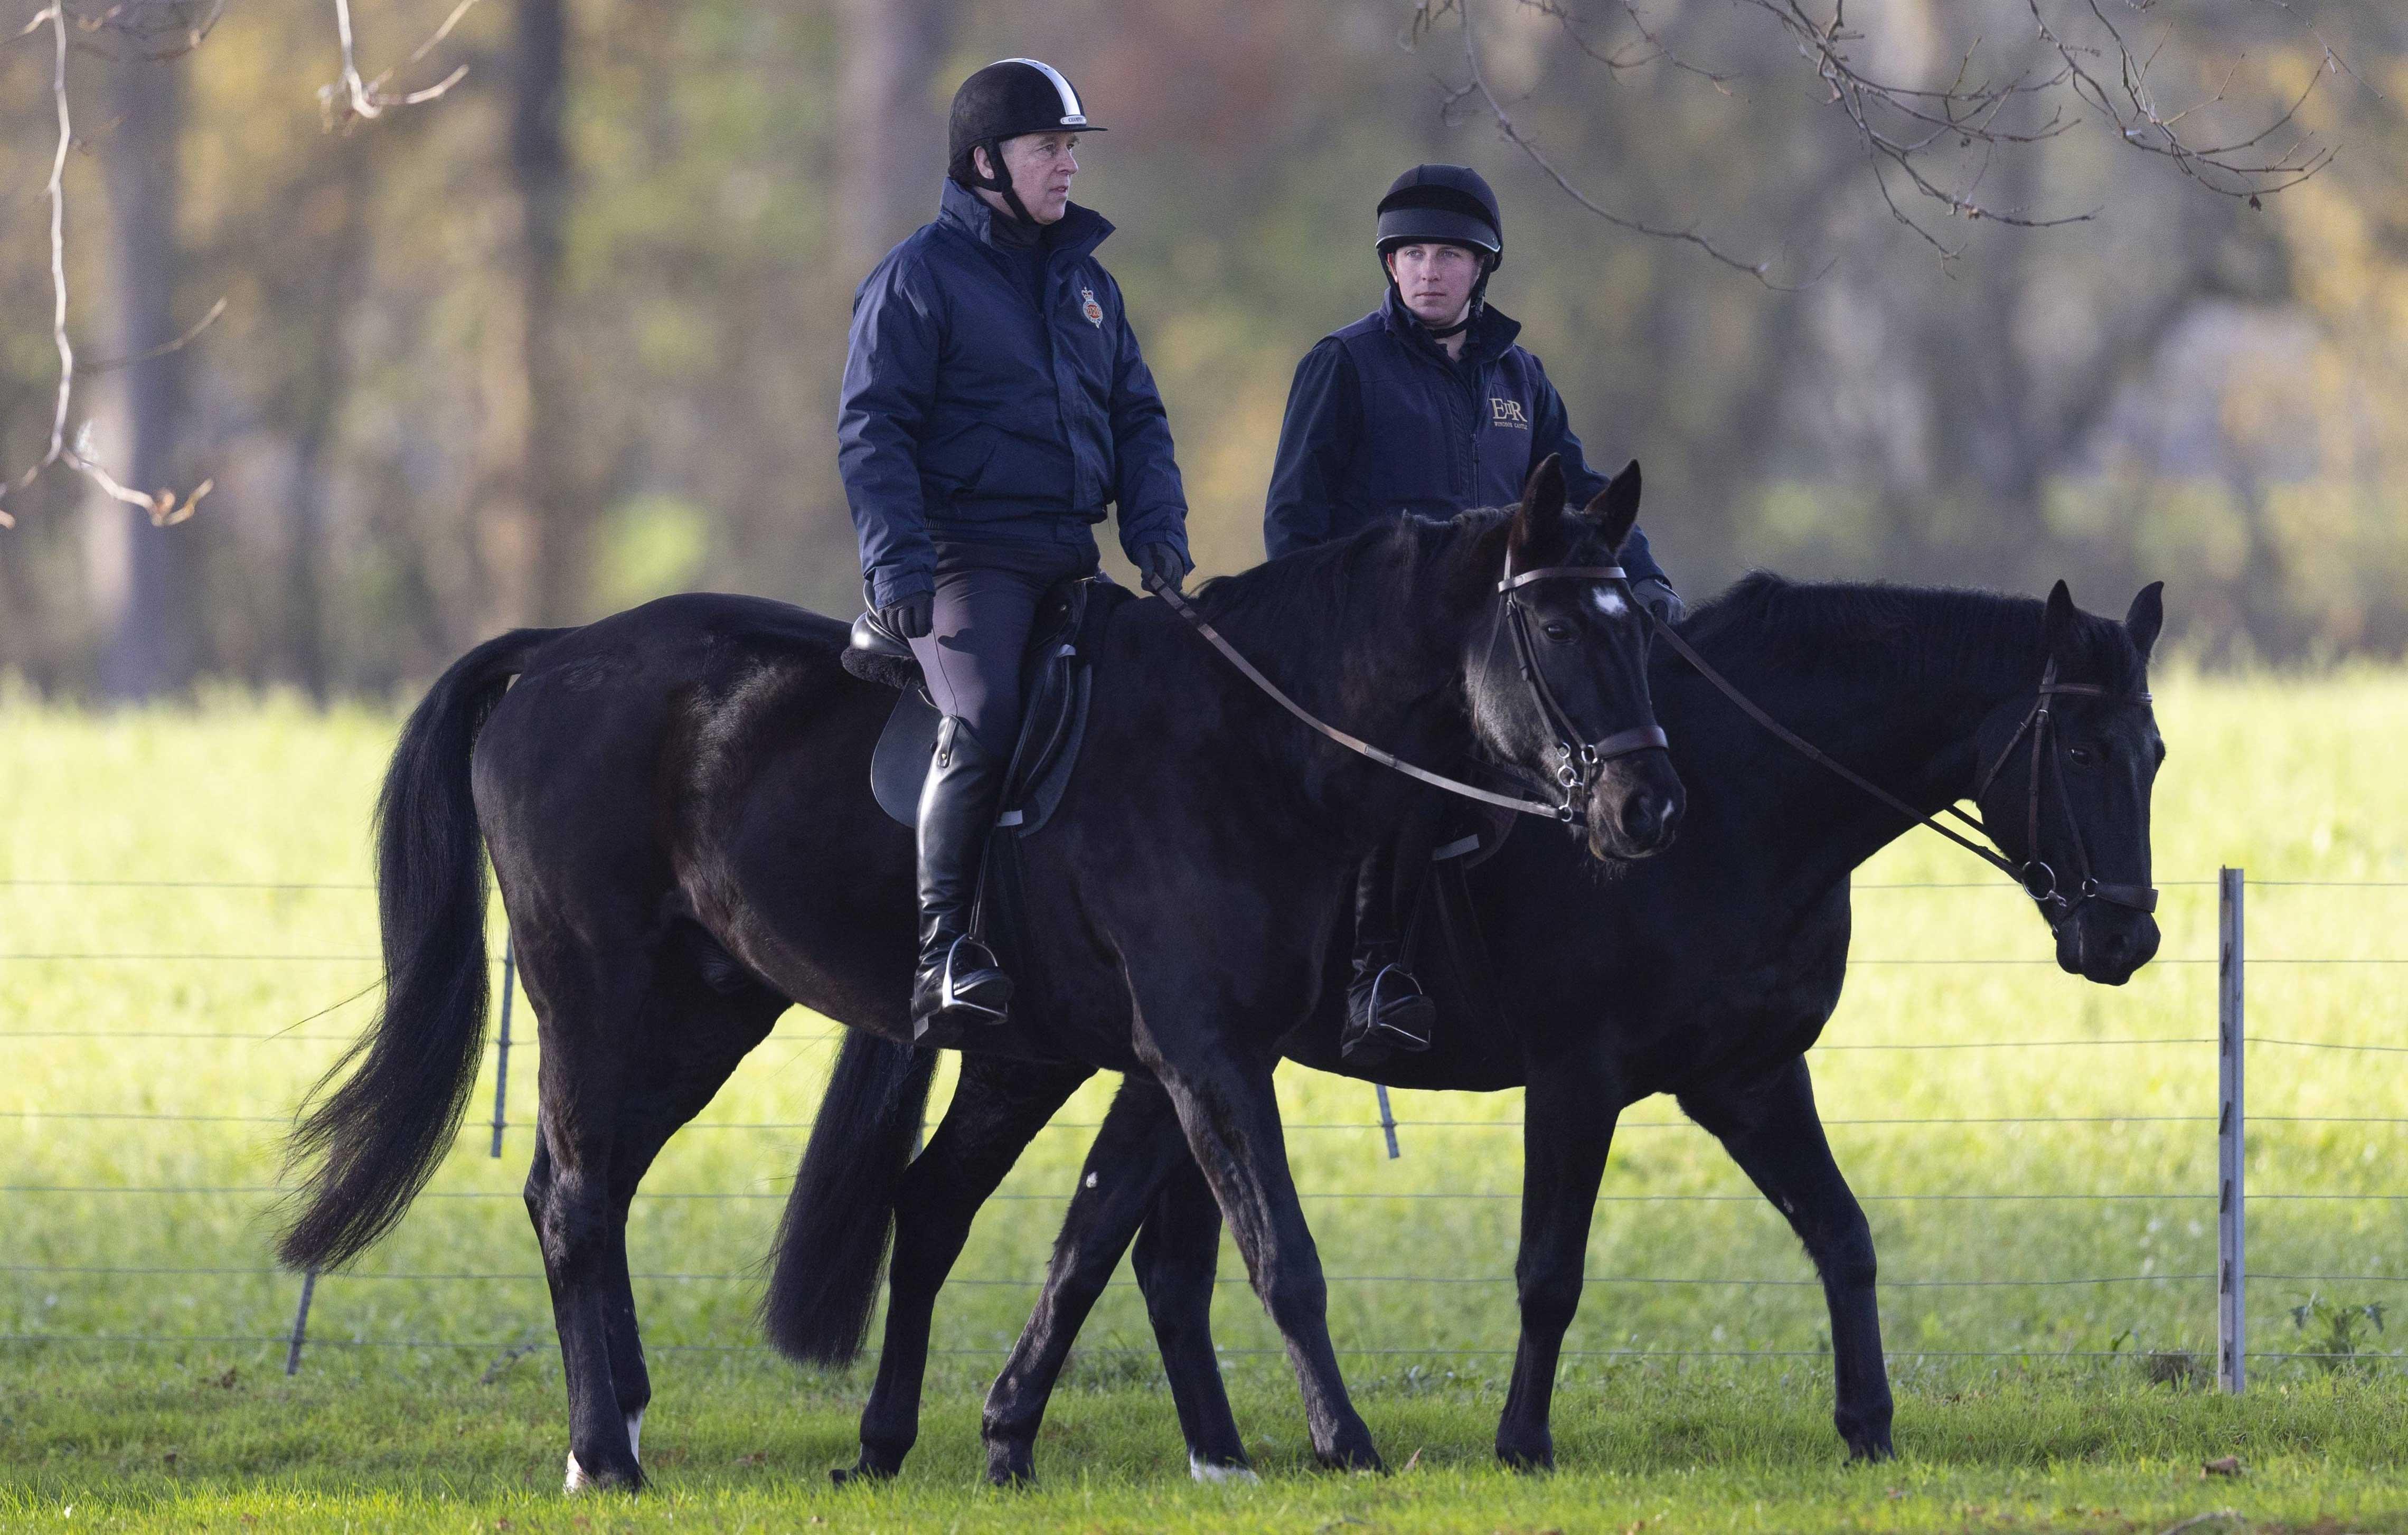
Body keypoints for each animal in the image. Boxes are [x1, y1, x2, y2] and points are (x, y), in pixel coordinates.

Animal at [273, 462, 1686, 1501]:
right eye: (1558, 622)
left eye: (1647, 628)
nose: (1649, 806)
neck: (1247, 747)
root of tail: (561, 652)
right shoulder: (1203, 1051)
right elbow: (1279, 1250)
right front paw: (1346, 1444)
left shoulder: (1156, 1058)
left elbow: (1081, 1241)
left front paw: (994, 1436)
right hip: (604, 997)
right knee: (574, 1200)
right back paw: (606, 1459)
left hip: (702, 1015)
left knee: (595, 1190)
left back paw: (620, 1425)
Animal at [785, 572, 2167, 1482]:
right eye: (2081, 750)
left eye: (2151, 751)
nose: (2126, 940)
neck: (1727, 806)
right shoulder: (1579, 1077)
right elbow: (1549, 1270)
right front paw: (1522, 1441)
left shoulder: (1749, 1078)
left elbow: (1845, 1235)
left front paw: (1868, 1425)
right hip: (1078, 1056)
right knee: (1007, 1218)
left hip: (1127, 1066)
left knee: (1087, 1238)